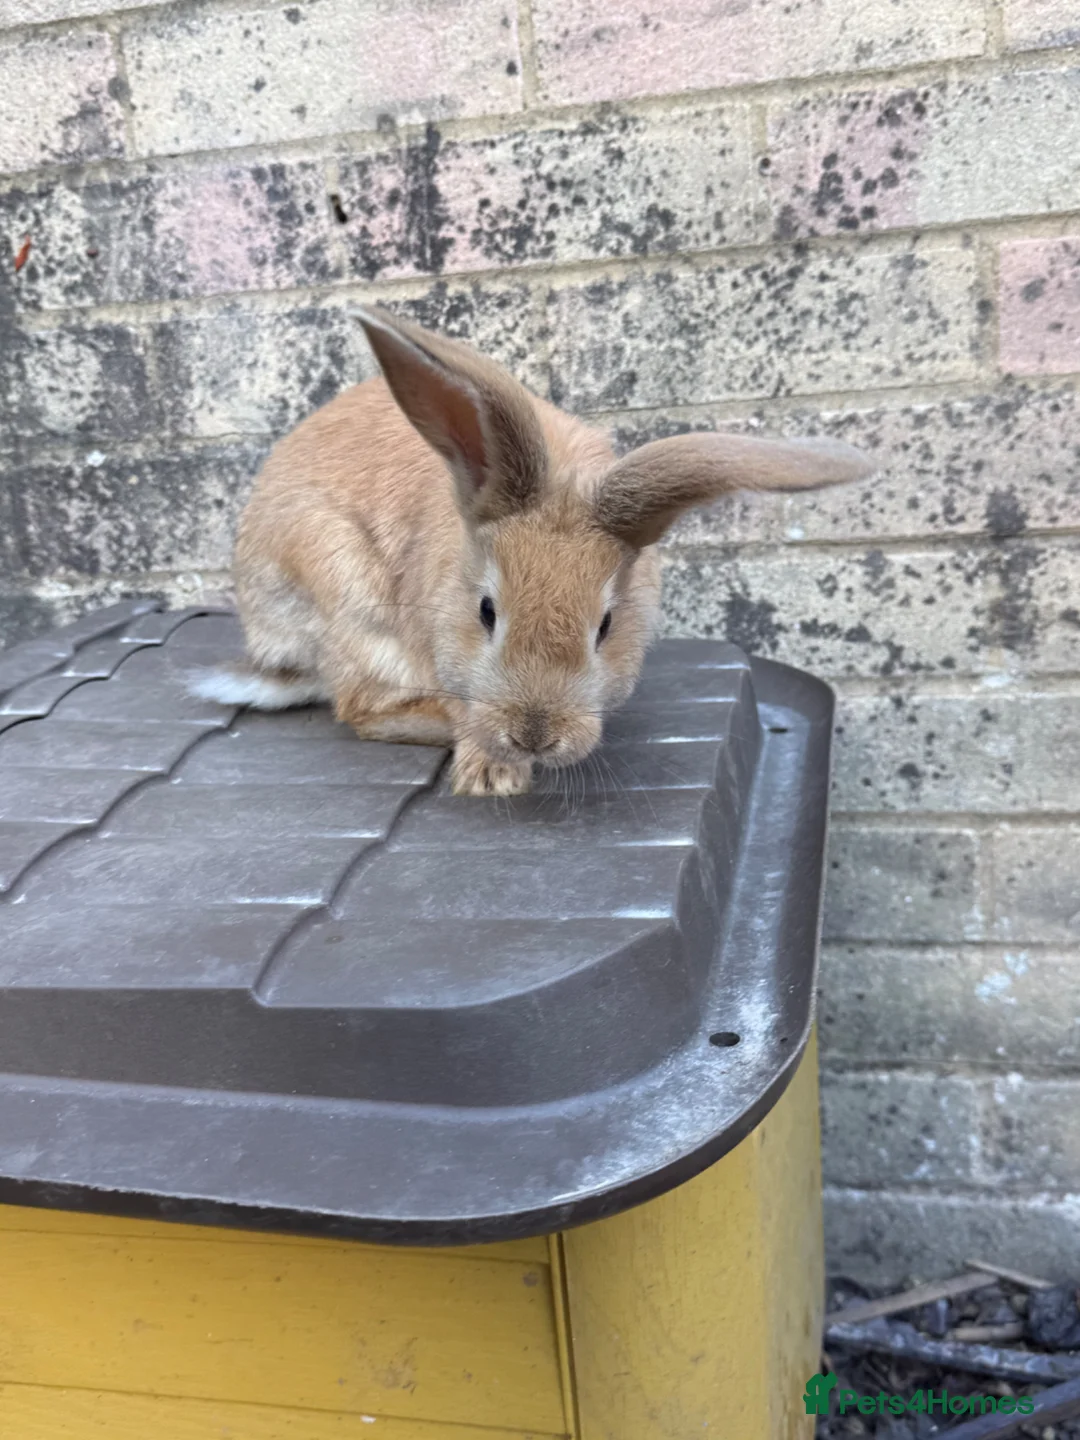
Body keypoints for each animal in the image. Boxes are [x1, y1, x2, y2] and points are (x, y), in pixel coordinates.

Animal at [191, 305, 874, 796]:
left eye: (606, 626)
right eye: (486, 611)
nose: (534, 738)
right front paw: (492, 776)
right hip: (344, 594)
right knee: (359, 709)